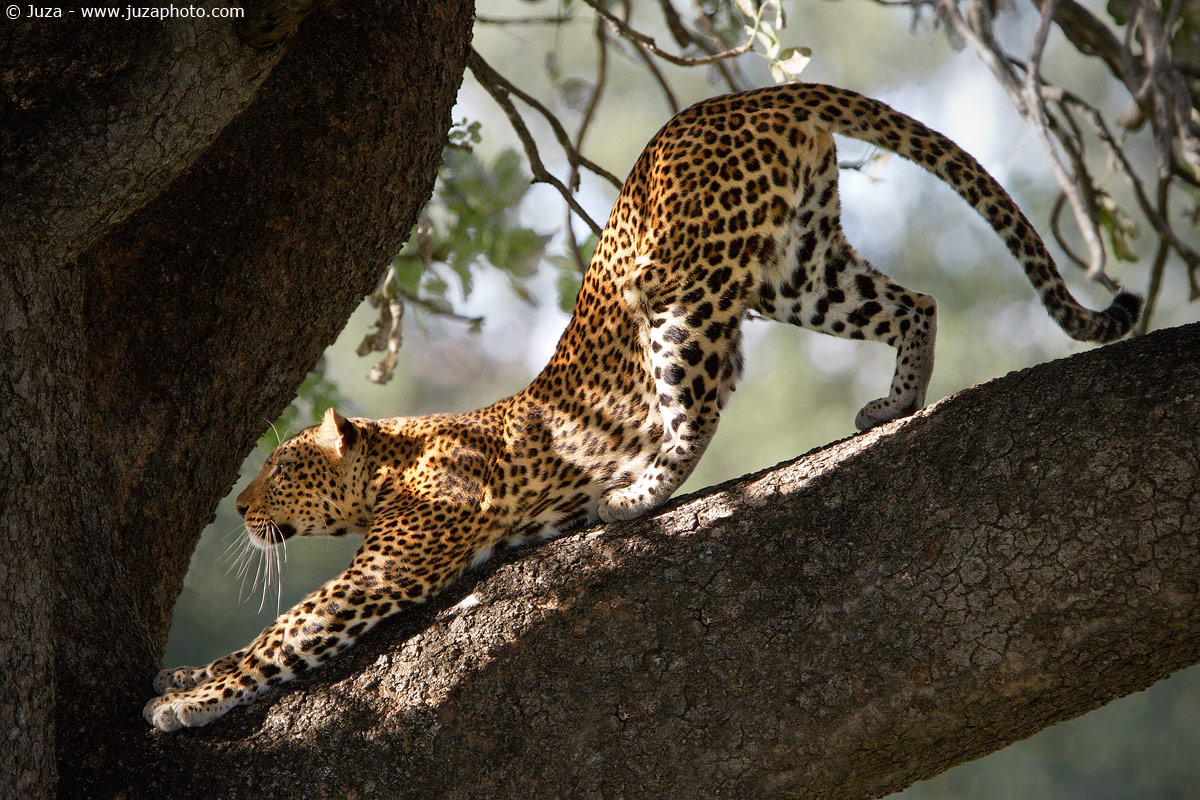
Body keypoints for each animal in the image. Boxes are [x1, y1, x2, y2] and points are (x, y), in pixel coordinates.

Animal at [145, 83, 1140, 731]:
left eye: (280, 467)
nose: (239, 506)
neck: (397, 459)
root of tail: (741, 98)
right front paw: (189, 675)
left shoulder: (395, 563)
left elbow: (286, 631)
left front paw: (188, 701)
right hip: (800, 266)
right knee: (913, 303)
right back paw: (897, 403)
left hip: (677, 291)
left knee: (703, 401)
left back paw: (633, 492)